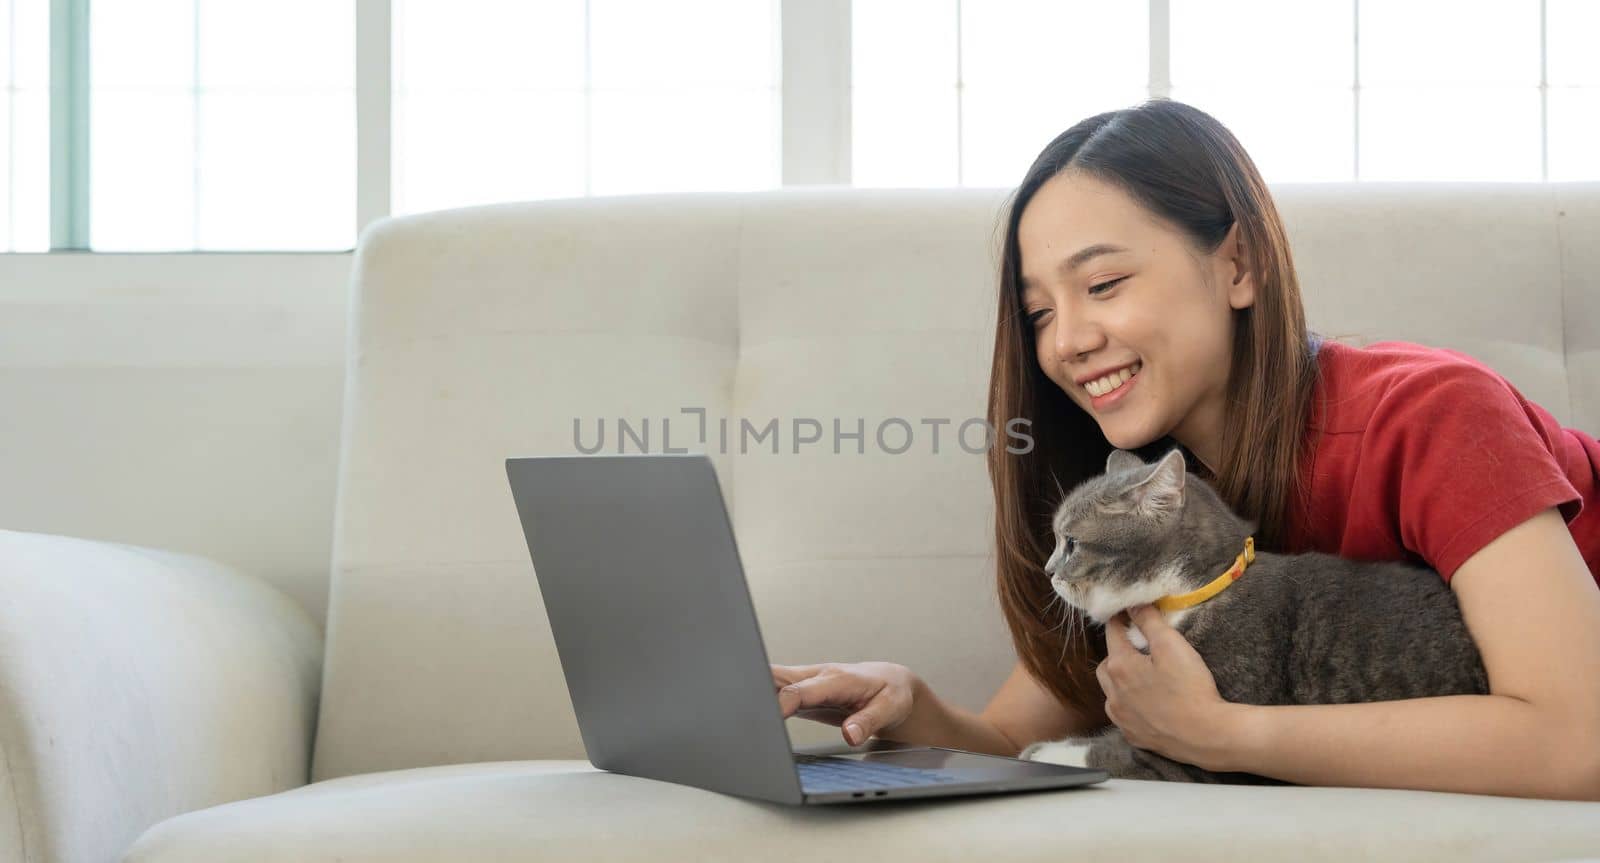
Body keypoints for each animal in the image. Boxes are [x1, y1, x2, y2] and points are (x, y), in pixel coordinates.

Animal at [1017, 445, 1491, 784]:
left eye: (1071, 543)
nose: (1048, 570)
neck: (1186, 596)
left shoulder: (1197, 751)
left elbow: (1113, 752)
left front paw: (1042, 752)